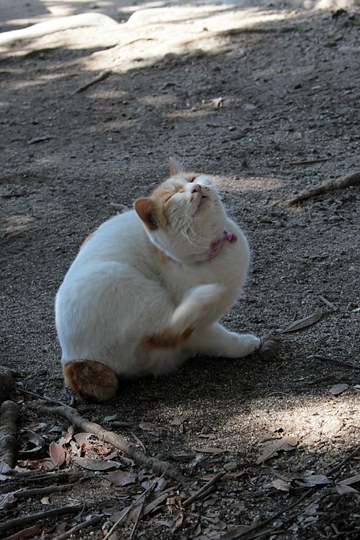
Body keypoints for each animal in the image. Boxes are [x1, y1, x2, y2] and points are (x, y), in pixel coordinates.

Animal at [54, 160, 260, 400]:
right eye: (172, 198)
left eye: (192, 179)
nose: (196, 188)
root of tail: (71, 361)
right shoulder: (200, 330)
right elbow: (220, 340)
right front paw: (244, 344)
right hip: (128, 284)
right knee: (168, 329)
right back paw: (202, 297)